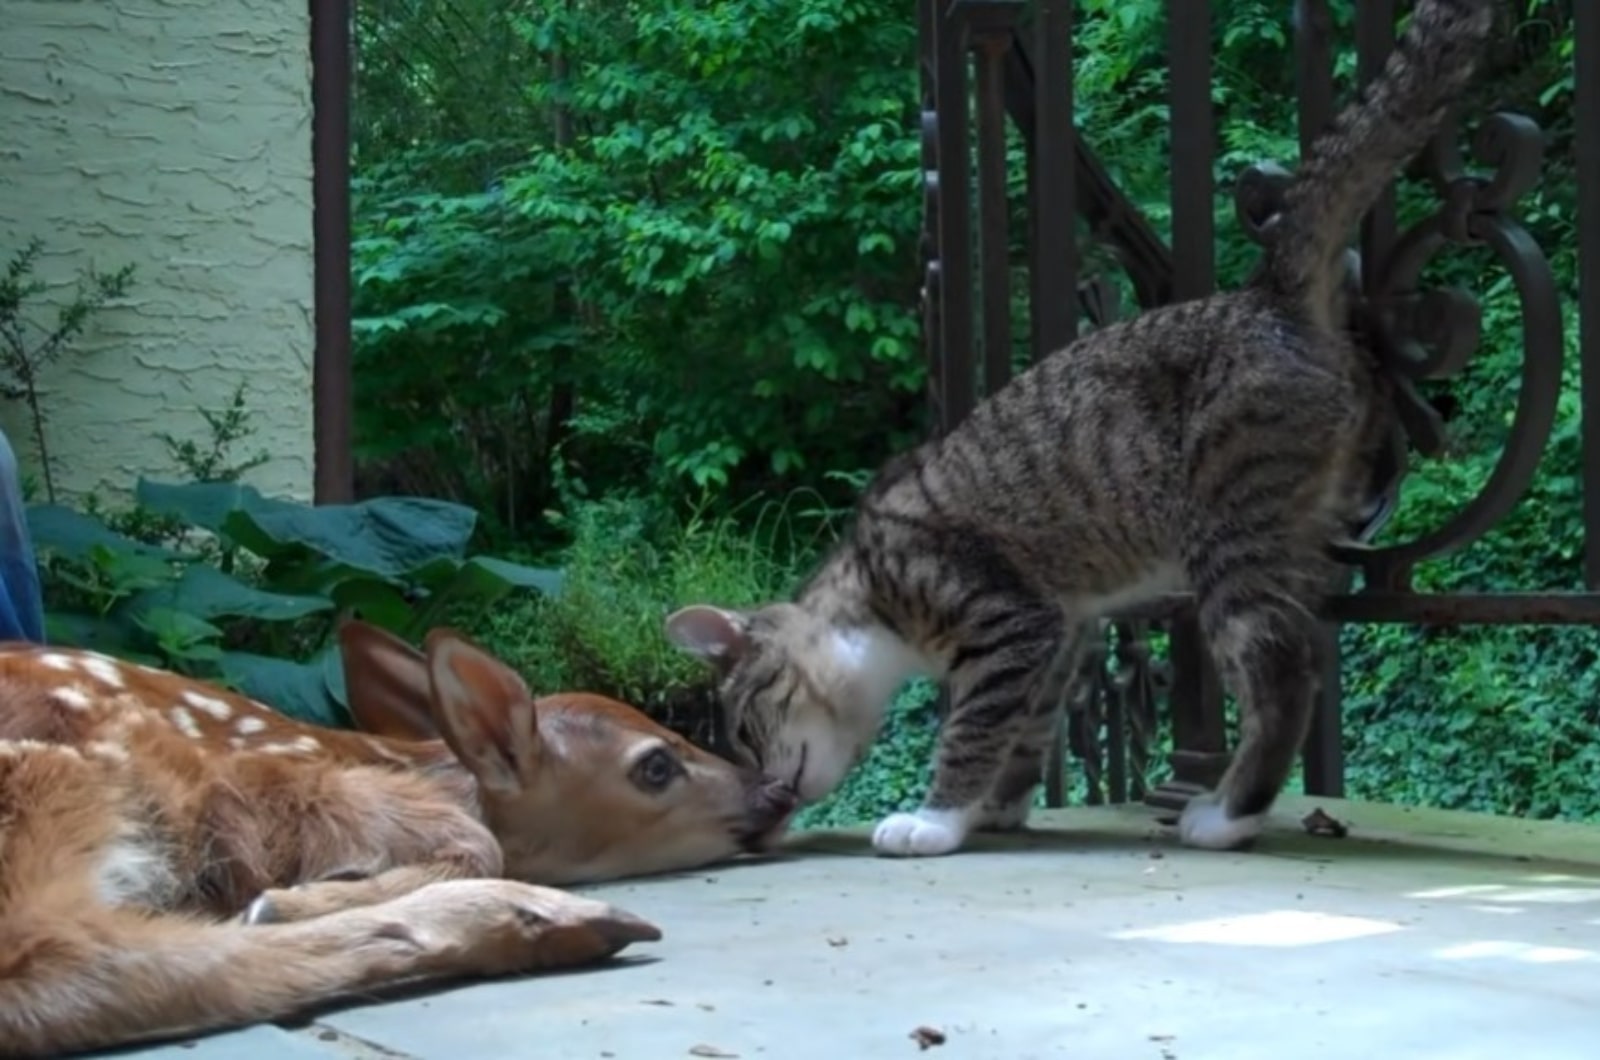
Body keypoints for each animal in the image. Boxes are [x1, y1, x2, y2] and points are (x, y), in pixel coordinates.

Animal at [662, 0, 1497, 858]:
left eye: (743, 727)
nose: (769, 797)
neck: (868, 591)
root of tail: (1267, 296)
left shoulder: (1005, 619)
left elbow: (970, 729)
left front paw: (935, 816)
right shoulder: (1059, 632)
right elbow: (1028, 731)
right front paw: (996, 807)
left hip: (1229, 532)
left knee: (1282, 672)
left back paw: (1228, 813)